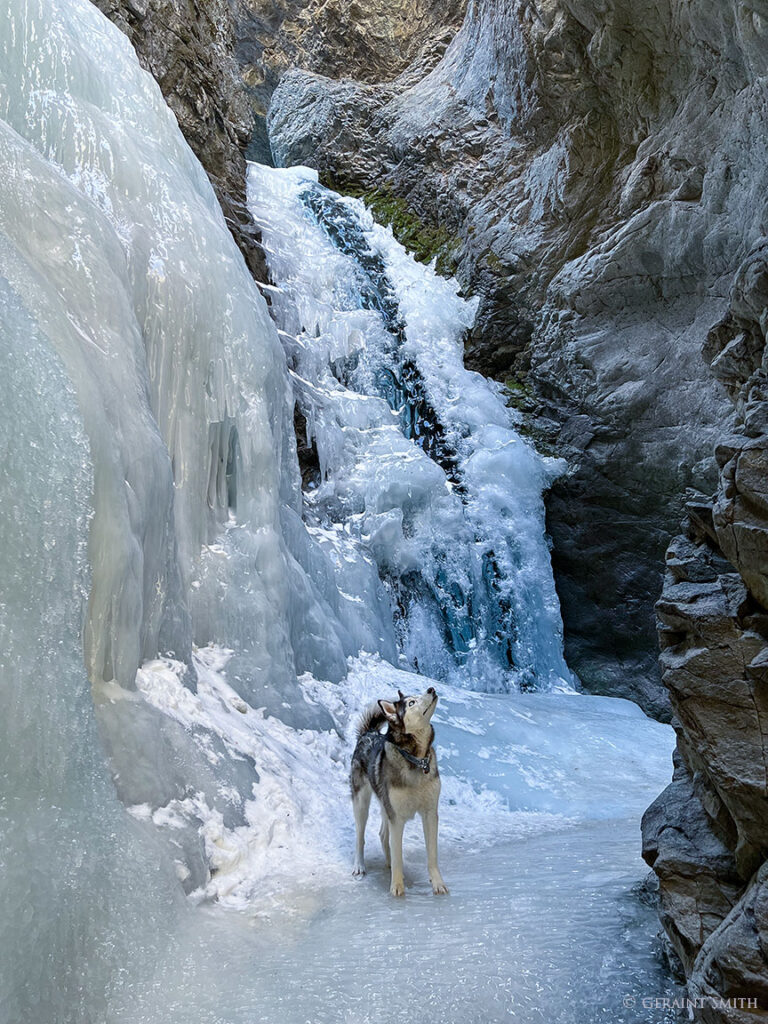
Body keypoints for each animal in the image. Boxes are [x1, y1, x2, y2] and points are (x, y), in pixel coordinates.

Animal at [350, 688, 450, 897]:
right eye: (411, 703)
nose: (431, 689)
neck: (417, 760)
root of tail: (368, 733)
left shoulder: (430, 813)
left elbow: (432, 855)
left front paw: (438, 883)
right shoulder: (397, 817)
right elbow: (398, 855)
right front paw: (397, 887)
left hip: (385, 804)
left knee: (382, 835)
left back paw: (387, 863)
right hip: (362, 803)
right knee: (360, 837)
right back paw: (359, 866)